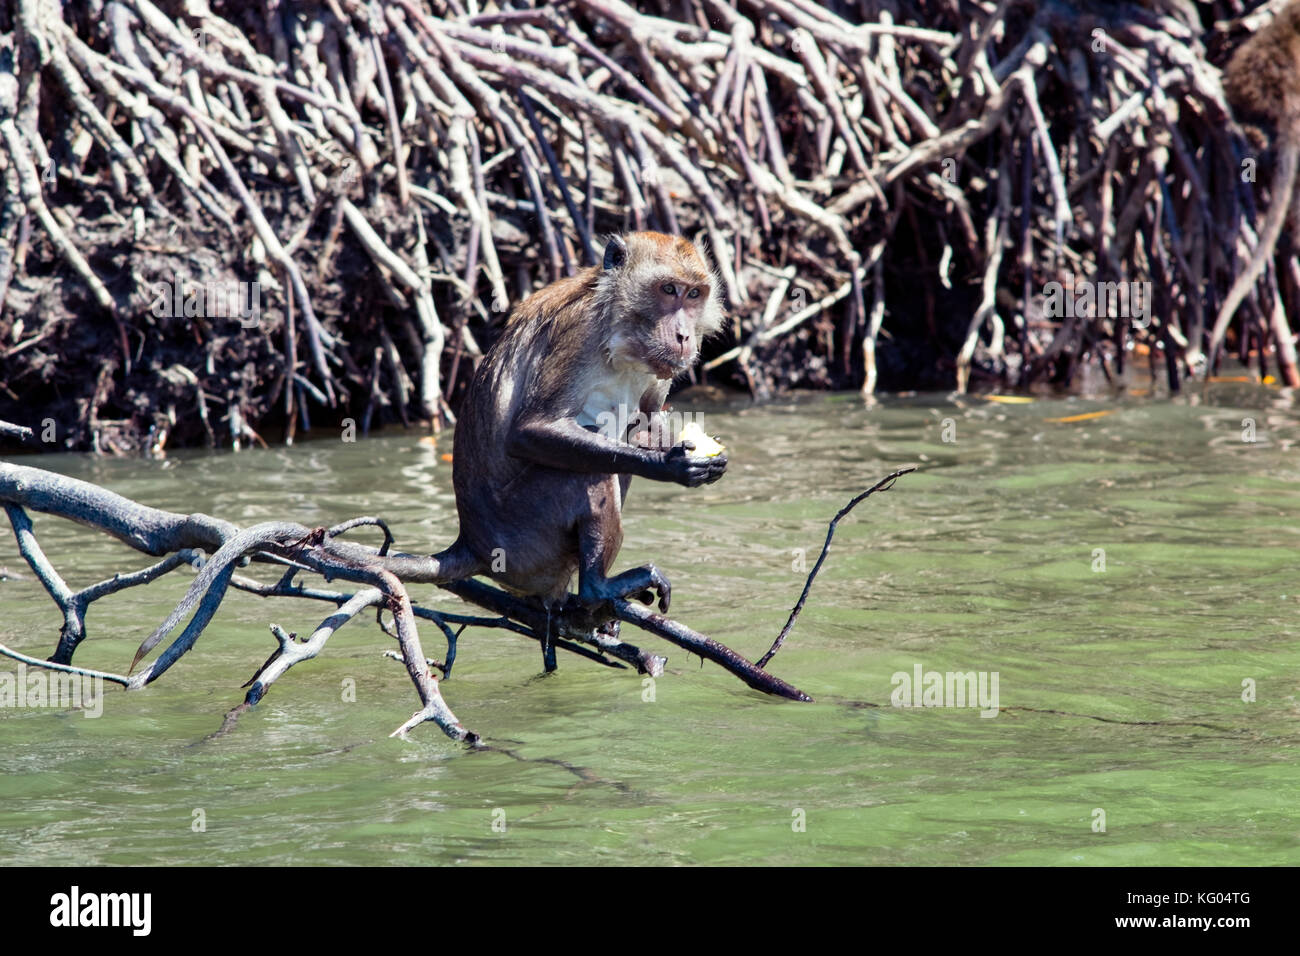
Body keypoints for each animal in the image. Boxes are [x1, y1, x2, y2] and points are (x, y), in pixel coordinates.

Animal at [428, 230, 728, 621]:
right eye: (668, 289)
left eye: (693, 294)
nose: (683, 335)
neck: (621, 328)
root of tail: (472, 541)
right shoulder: (579, 330)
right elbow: (530, 431)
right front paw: (669, 465)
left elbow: (646, 420)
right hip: (519, 537)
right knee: (587, 472)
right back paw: (596, 587)